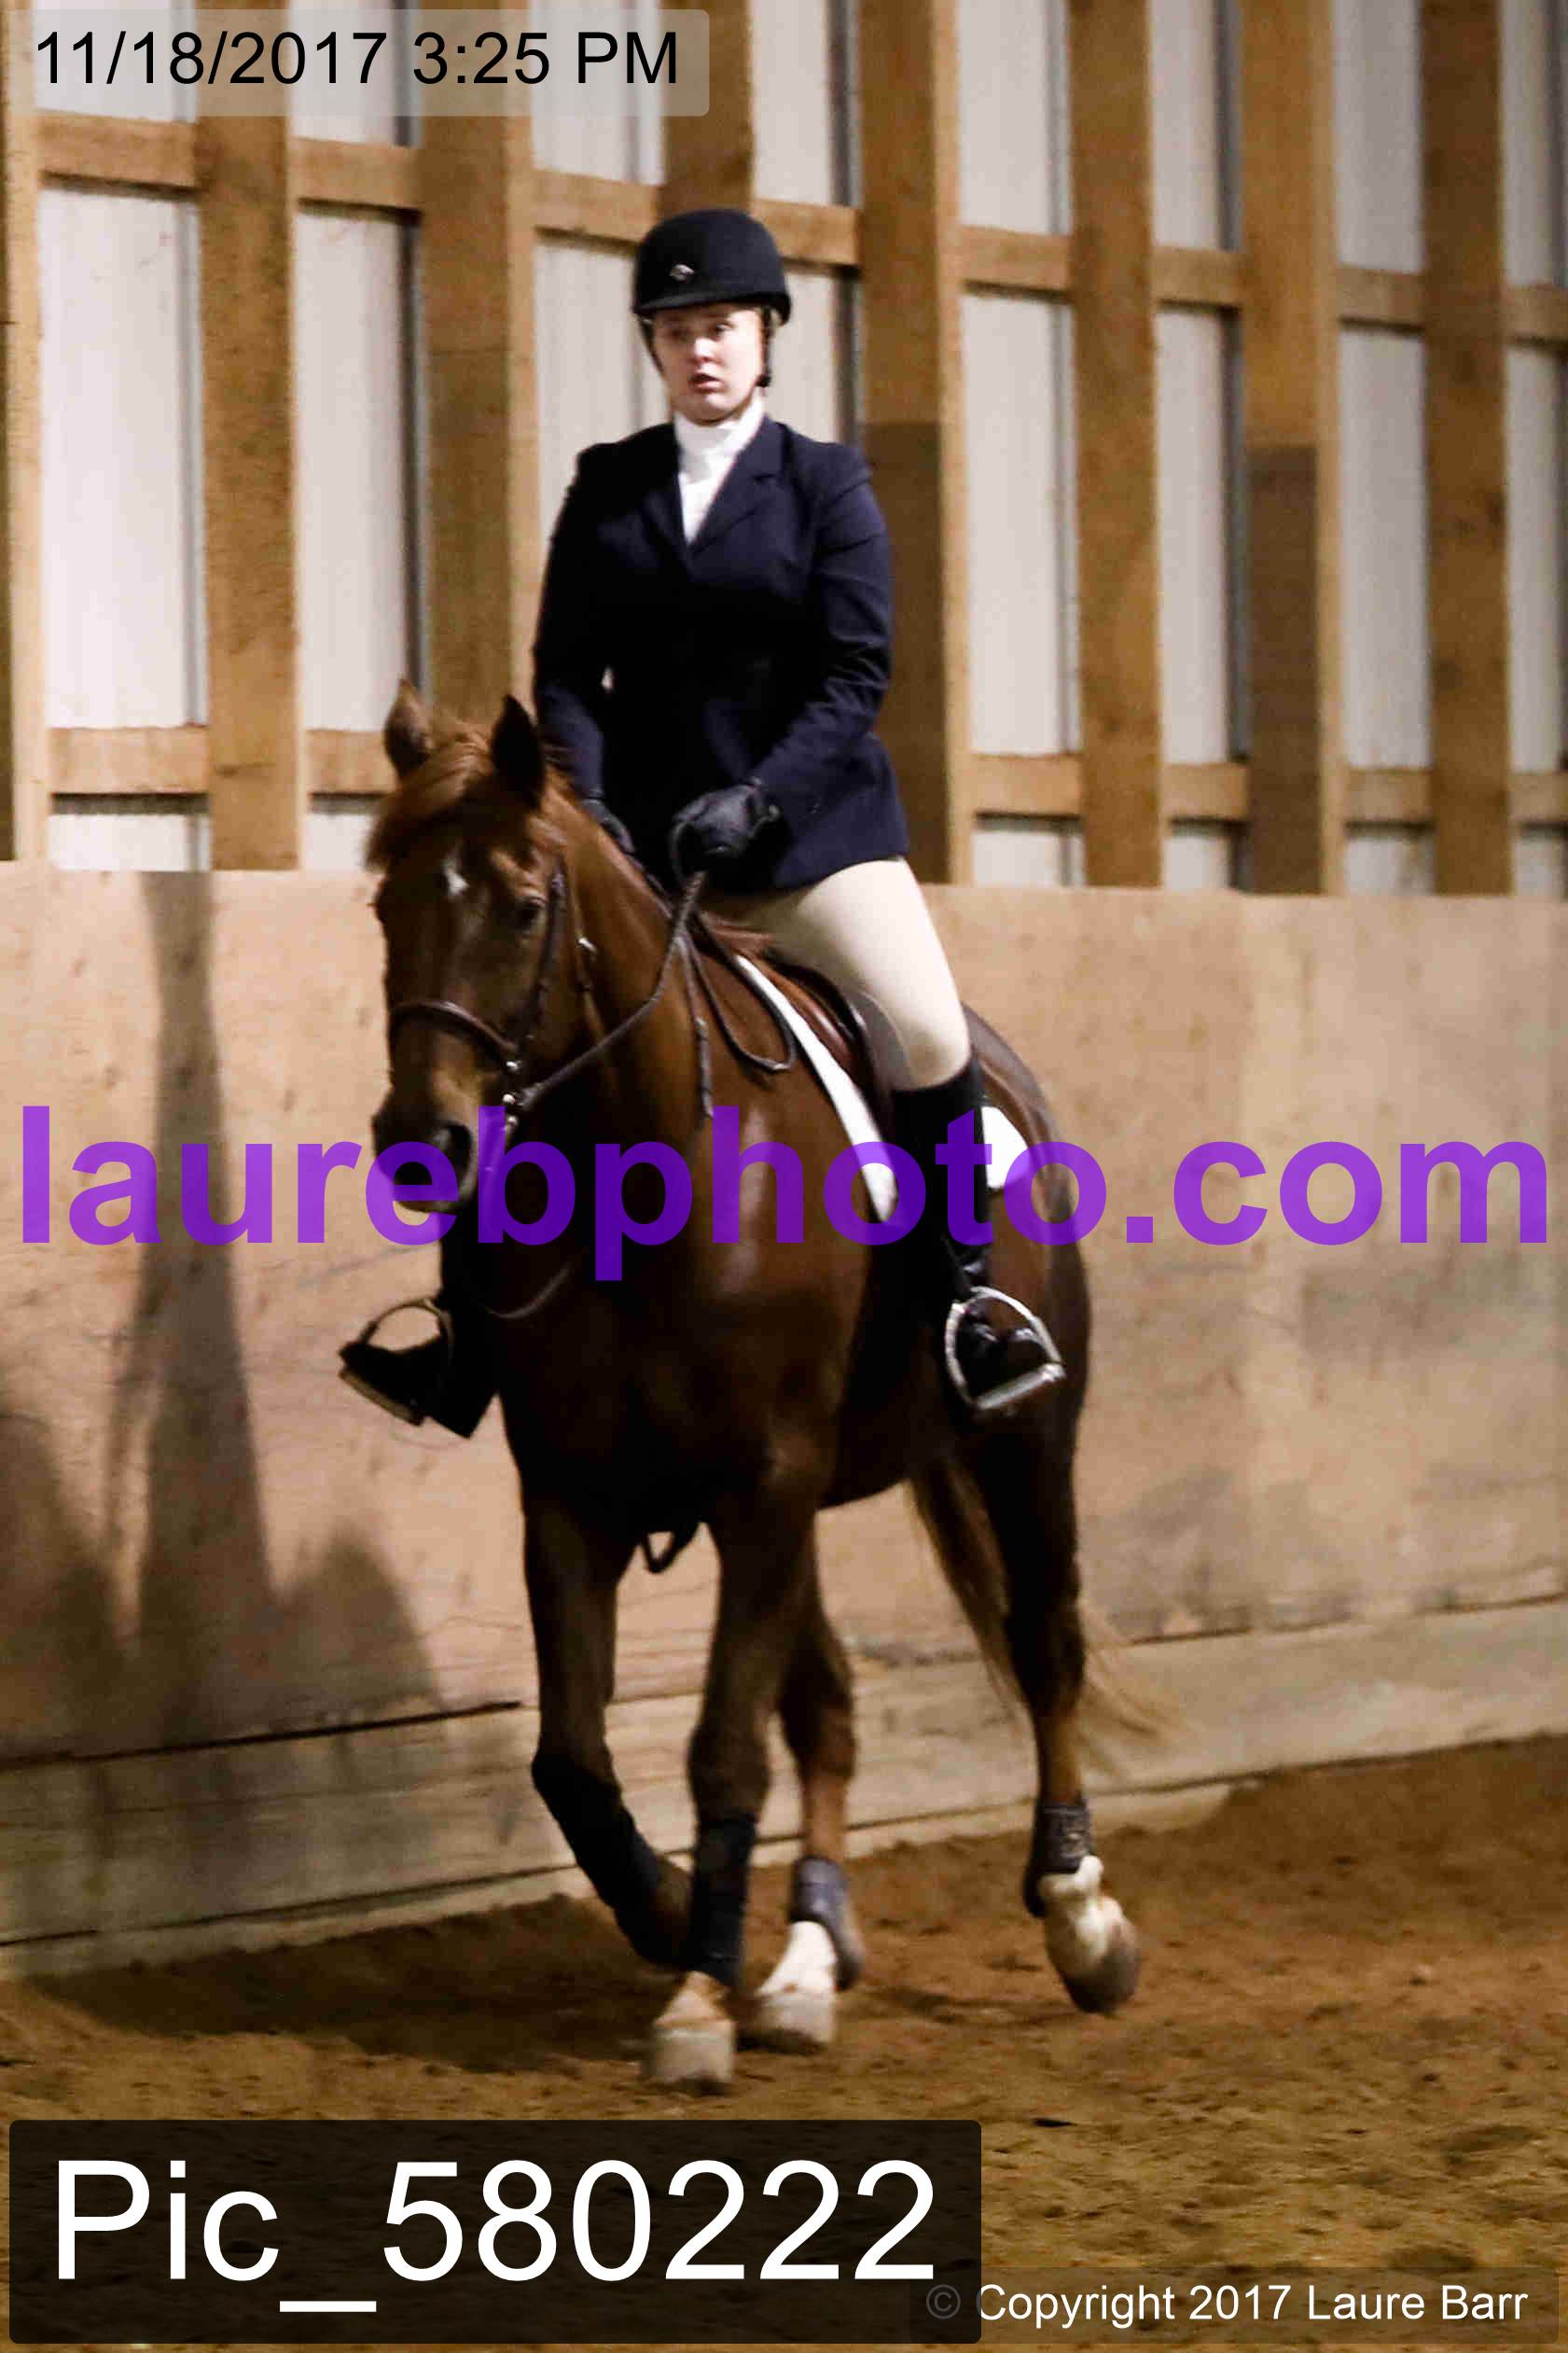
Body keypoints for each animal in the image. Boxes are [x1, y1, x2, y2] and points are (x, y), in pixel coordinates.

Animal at [363, 681, 1141, 2089]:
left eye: (519, 903)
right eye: (388, 900)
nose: (422, 1142)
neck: (643, 1166)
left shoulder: (763, 1480)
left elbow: (722, 1746)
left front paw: (692, 1999)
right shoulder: (577, 1495)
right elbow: (573, 1758)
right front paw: (679, 1917)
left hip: (1019, 1441)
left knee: (1042, 1639)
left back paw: (1076, 1910)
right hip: (792, 1509)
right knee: (826, 1705)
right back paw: (804, 1956)